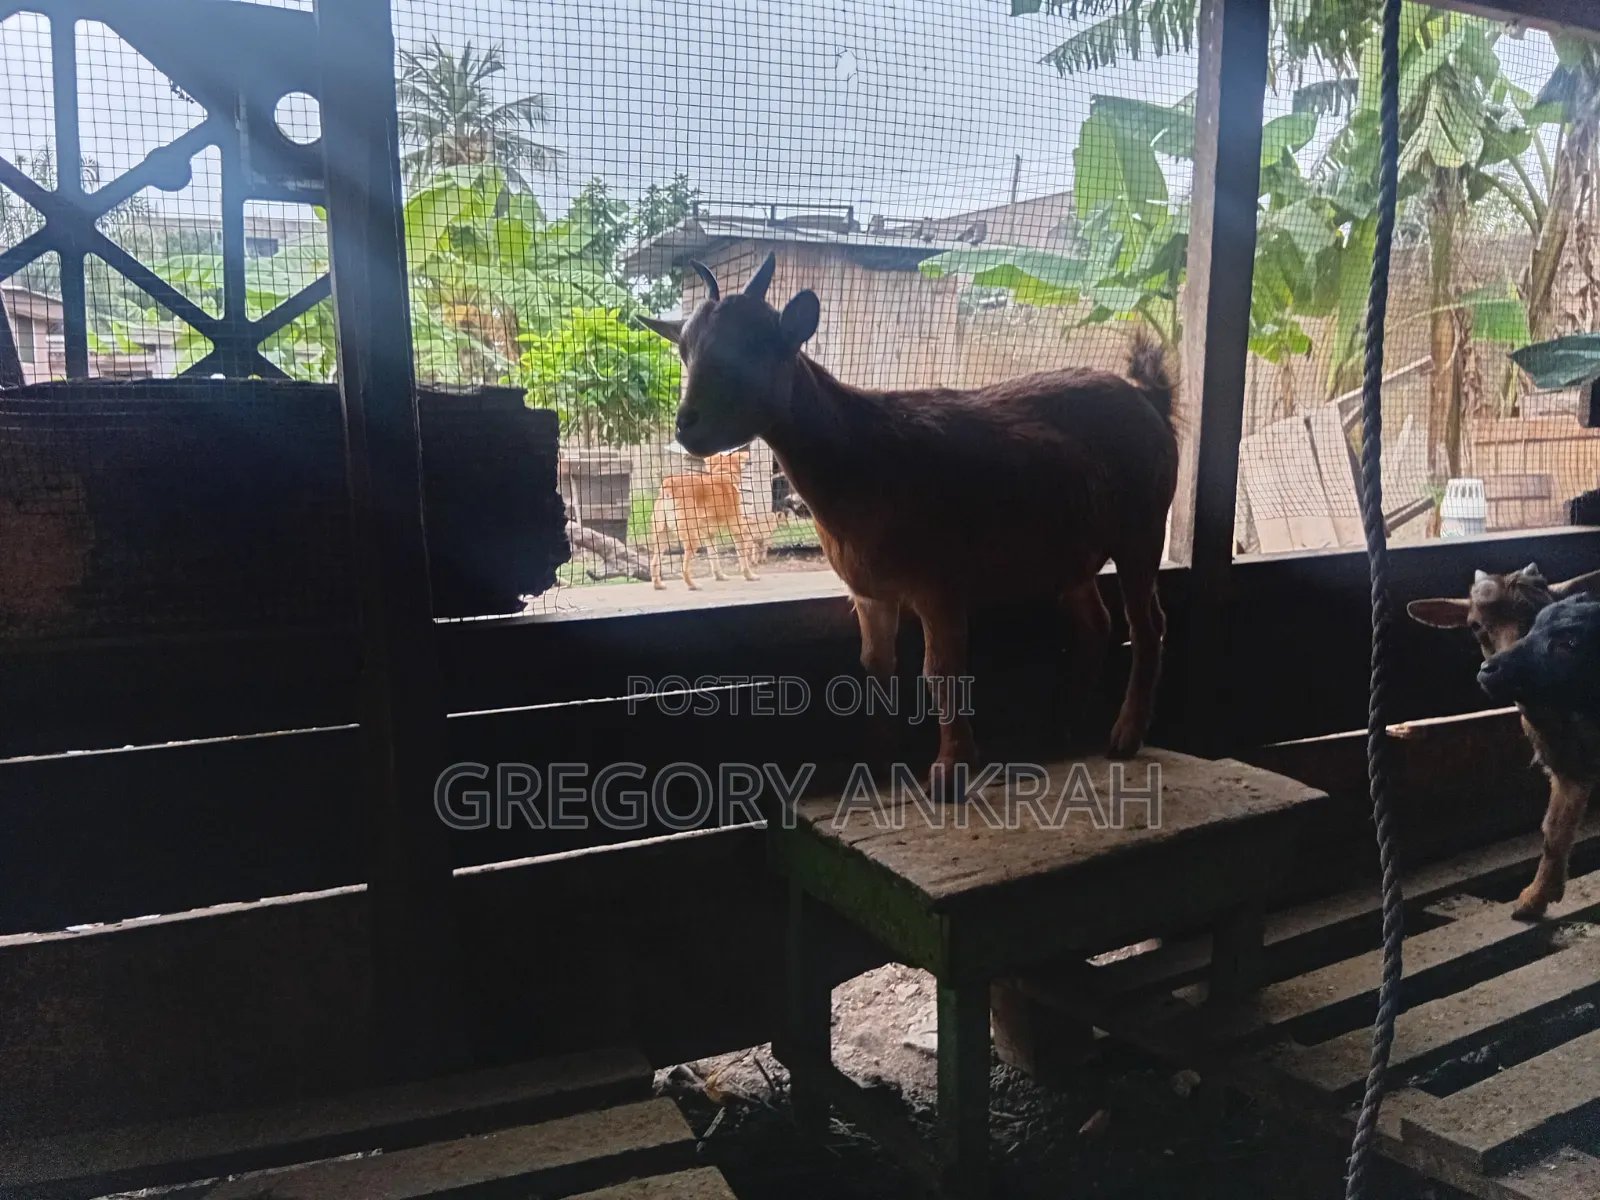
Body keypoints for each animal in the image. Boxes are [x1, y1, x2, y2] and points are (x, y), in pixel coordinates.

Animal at [640, 253, 1178, 777]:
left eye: (756, 344)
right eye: (684, 350)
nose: (687, 426)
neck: (862, 452)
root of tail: (1150, 399)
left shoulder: (939, 582)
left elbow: (941, 667)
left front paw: (951, 767)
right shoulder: (869, 592)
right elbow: (876, 665)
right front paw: (878, 760)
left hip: (1143, 529)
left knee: (1146, 622)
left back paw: (1124, 735)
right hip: (1072, 550)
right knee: (1097, 622)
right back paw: (1062, 727)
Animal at [1408, 563, 1600, 919]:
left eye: (1567, 642)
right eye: (1475, 626)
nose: (1491, 670)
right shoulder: (1566, 765)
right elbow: (1554, 831)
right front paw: (1536, 898)